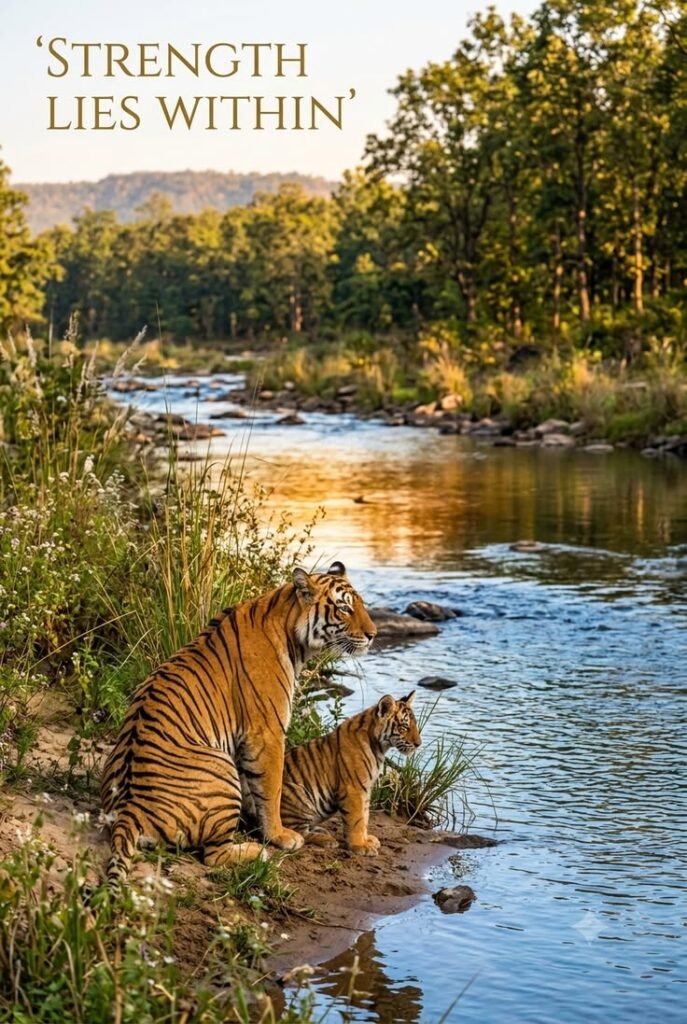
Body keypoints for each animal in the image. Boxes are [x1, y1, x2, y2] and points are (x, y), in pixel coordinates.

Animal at [100, 561, 377, 887]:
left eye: (361, 604)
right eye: (344, 608)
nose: (373, 635)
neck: (291, 631)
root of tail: (128, 809)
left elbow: (255, 786)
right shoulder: (267, 732)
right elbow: (271, 787)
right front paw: (280, 836)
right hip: (221, 771)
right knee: (213, 857)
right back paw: (256, 852)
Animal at [278, 691, 421, 856]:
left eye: (415, 725)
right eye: (404, 726)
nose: (419, 744)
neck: (379, 747)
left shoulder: (366, 789)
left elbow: (365, 816)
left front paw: (367, 840)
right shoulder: (354, 788)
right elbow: (357, 819)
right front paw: (360, 846)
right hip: (297, 794)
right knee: (296, 832)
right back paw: (327, 839)